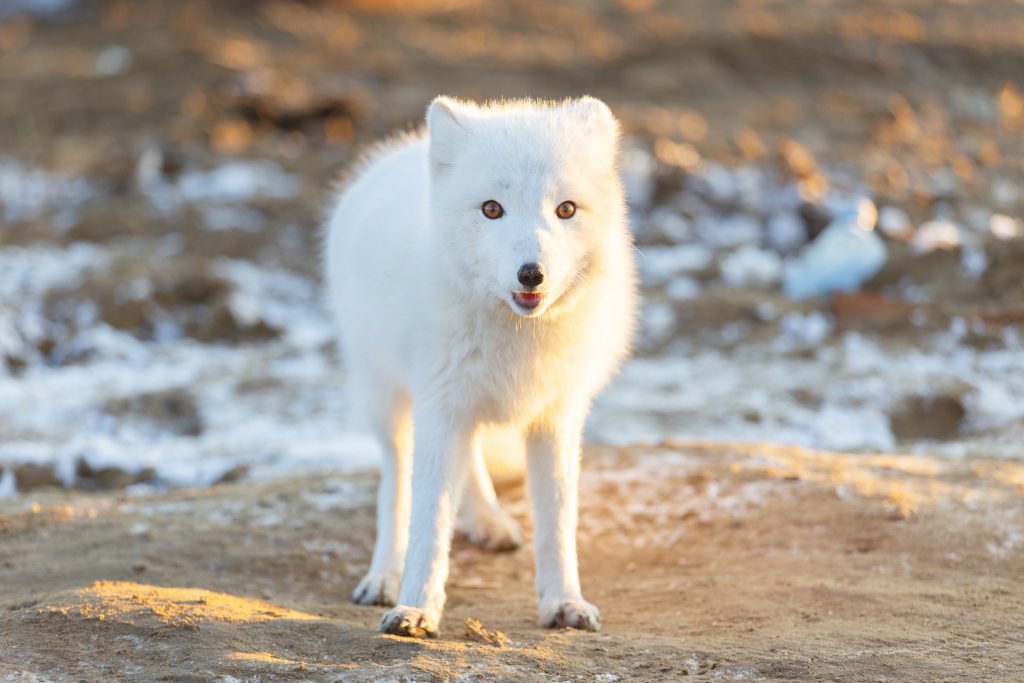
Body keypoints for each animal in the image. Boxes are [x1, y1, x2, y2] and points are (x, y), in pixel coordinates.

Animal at [323, 94, 634, 634]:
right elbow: (427, 519)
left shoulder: (556, 415)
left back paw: (487, 522)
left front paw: (564, 602)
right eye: (492, 209)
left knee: (468, 459)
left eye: (566, 209)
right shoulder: (439, 407)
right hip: (388, 399)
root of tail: (401, 151)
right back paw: (384, 576)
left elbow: (557, 521)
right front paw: (416, 607)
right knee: (396, 485)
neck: (517, 338)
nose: (531, 274)